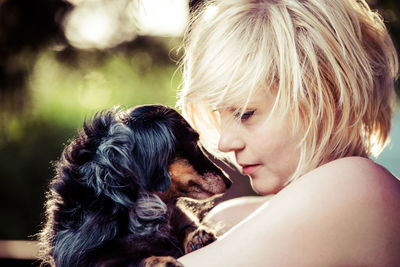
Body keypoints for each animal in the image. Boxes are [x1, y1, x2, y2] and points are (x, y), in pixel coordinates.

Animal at [38, 105, 231, 267]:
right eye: (193, 143)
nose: (229, 182)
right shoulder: (91, 260)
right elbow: (131, 261)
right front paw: (160, 261)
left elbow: (187, 228)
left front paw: (198, 236)